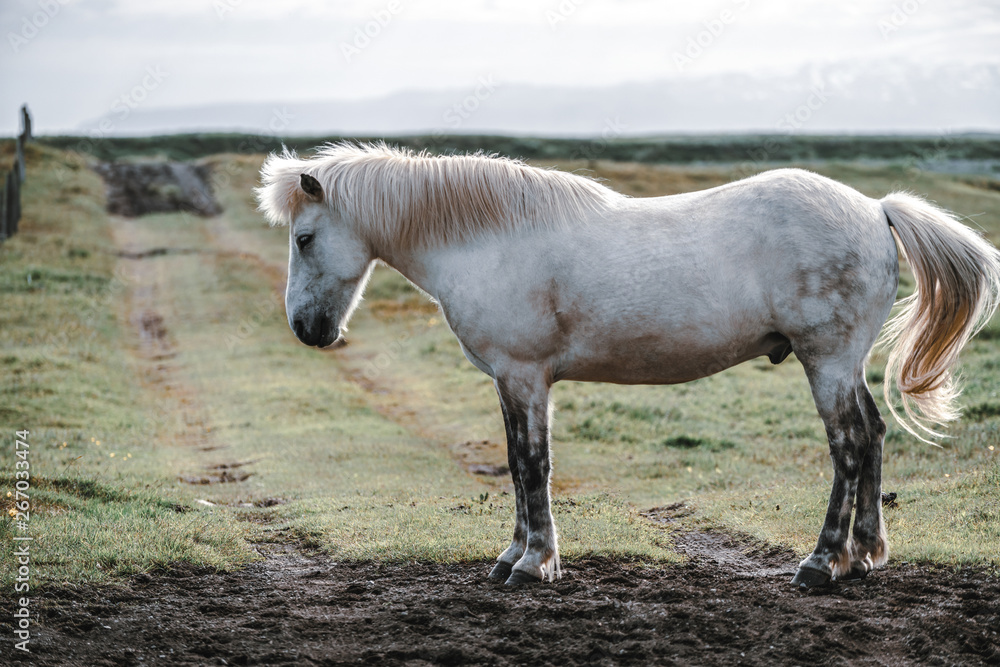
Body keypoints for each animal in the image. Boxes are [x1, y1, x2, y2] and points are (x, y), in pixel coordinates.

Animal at [258, 142, 1000, 588]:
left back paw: (821, 563)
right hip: (842, 364)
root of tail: (876, 210)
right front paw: (514, 556)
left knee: (848, 445)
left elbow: (531, 464)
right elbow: (518, 464)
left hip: (828, 360)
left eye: (305, 237)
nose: (307, 329)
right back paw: (865, 555)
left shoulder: (525, 376)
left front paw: (533, 563)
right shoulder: (513, 382)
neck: (489, 239)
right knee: (871, 436)